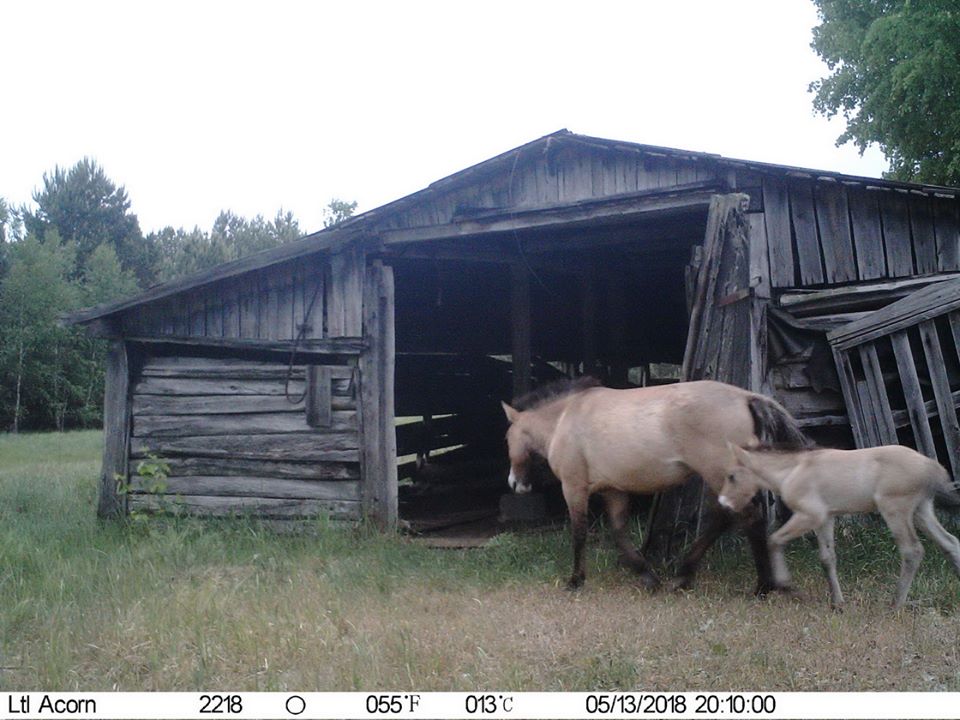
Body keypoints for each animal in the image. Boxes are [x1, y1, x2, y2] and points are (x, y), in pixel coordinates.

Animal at [716, 444, 960, 608]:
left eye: (732, 476)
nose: (724, 503)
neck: (791, 471)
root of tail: (931, 467)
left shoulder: (810, 515)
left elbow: (774, 540)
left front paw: (787, 586)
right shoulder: (826, 518)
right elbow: (827, 558)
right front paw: (837, 603)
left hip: (895, 509)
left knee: (912, 550)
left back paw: (895, 605)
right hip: (921, 510)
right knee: (950, 542)